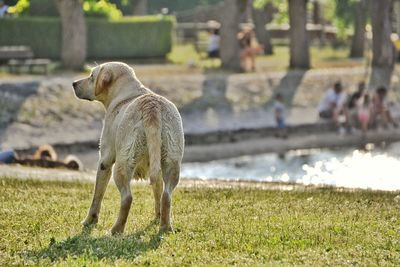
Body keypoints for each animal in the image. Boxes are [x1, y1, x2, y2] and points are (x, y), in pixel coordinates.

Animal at [72, 62, 184, 234]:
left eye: (91, 76)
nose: (73, 83)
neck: (126, 94)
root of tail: (152, 108)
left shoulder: (104, 161)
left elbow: (97, 196)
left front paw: (89, 221)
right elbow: (157, 190)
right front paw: (157, 218)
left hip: (122, 165)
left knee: (127, 198)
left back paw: (116, 230)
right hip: (171, 161)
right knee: (166, 195)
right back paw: (165, 227)